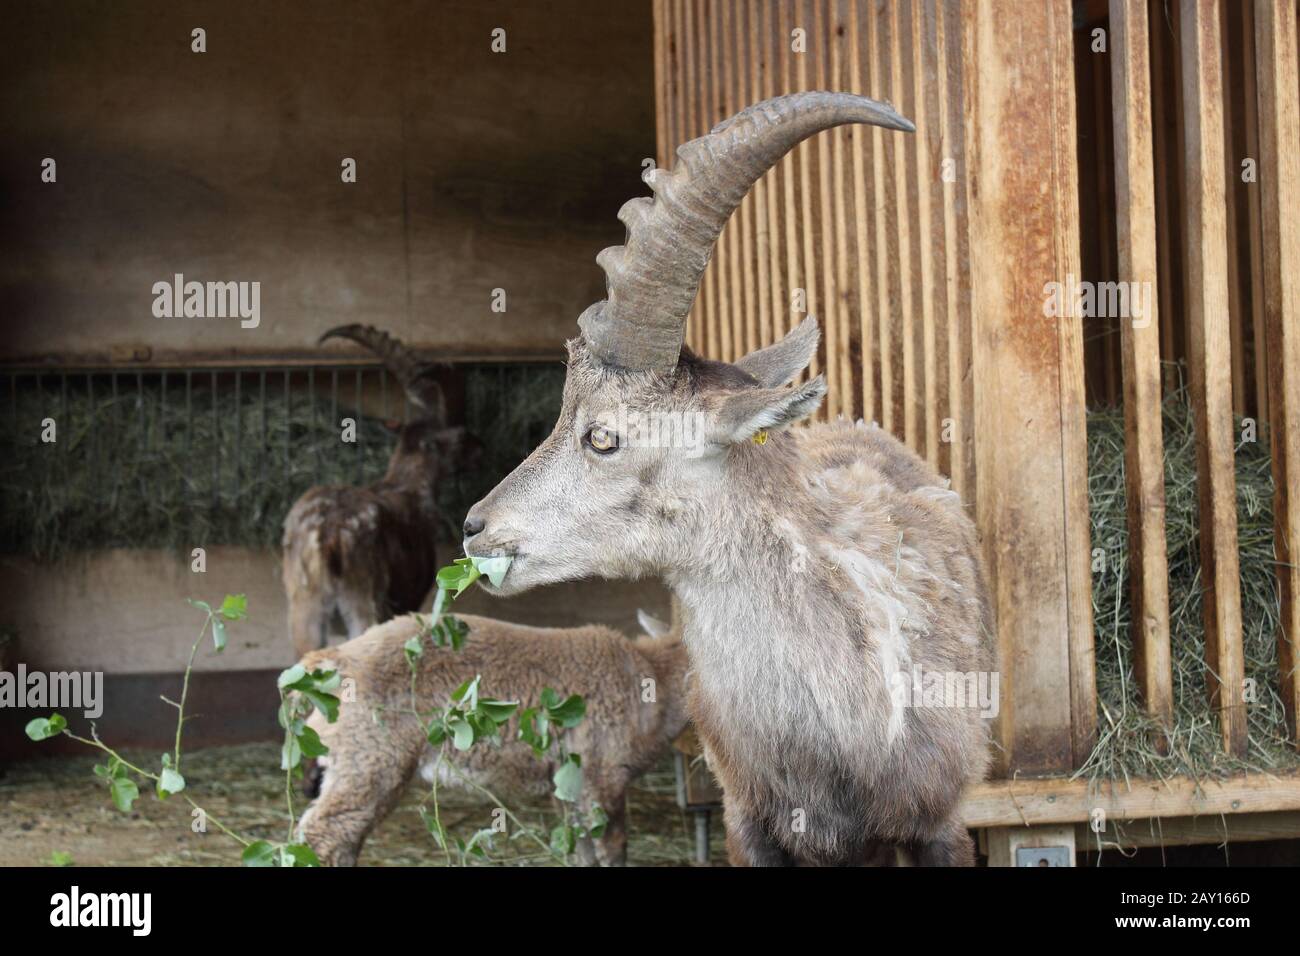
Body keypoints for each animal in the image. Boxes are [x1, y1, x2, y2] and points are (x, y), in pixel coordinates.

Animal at [296, 613, 691, 868]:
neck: (654, 680)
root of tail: (332, 661)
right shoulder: (603, 774)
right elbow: (612, 849)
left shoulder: (569, 783)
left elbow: (582, 851)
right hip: (370, 755)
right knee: (326, 832)